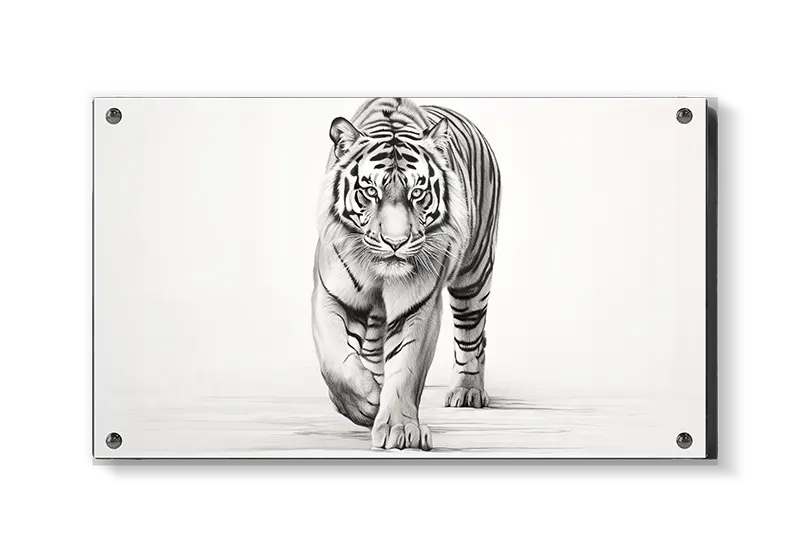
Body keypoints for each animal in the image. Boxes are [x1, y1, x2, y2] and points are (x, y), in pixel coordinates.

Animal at [312, 97, 501, 450]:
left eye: (417, 193)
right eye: (370, 191)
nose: (396, 242)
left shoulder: (419, 305)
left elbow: (407, 368)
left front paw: (400, 429)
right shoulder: (331, 295)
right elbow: (335, 361)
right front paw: (364, 403)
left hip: (474, 275)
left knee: (472, 335)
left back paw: (468, 391)